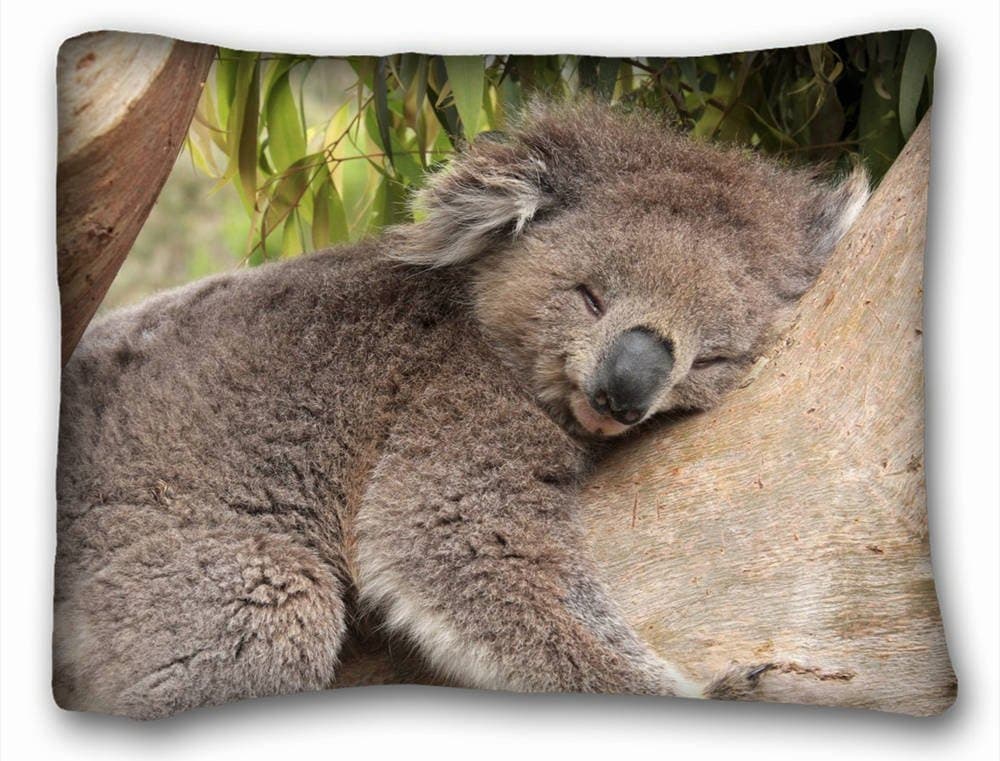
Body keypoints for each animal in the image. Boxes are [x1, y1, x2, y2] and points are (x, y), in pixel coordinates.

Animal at [53, 100, 869, 718]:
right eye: (589, 296)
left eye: (711, 358)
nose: (623, 394)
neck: (486, 325)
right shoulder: (452, 401)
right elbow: (456, 539)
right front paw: (721, 690)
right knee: (262, 615)